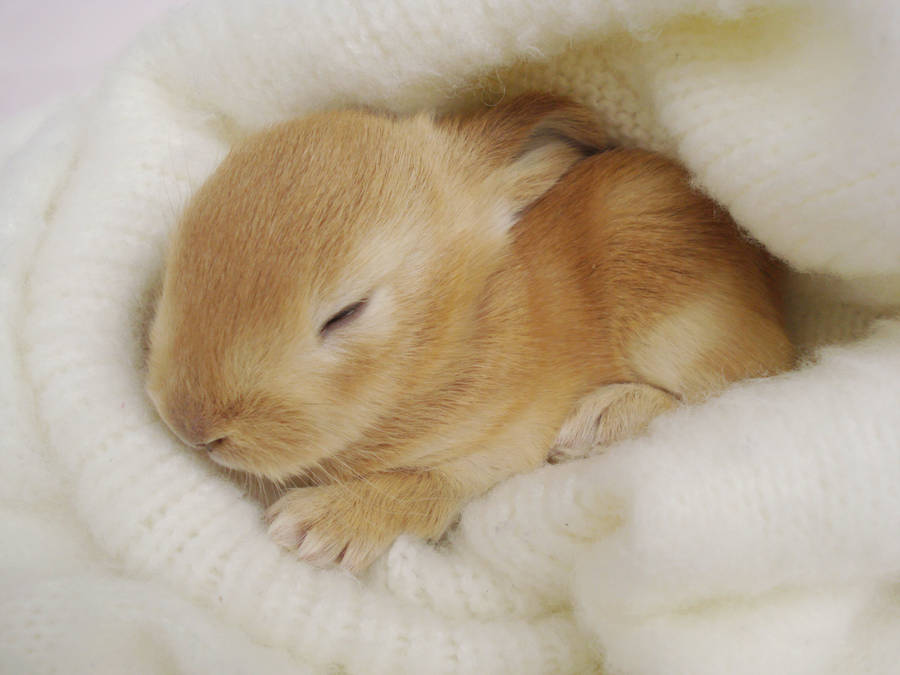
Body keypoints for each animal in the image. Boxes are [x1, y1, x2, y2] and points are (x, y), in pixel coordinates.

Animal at [145, 94, 794, 572]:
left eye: (346, 313)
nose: (192, 425)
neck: (448, 337)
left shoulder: (495, 450)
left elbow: (420, 487)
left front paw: (311, 526)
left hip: (673, 316)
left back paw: (596, 422)